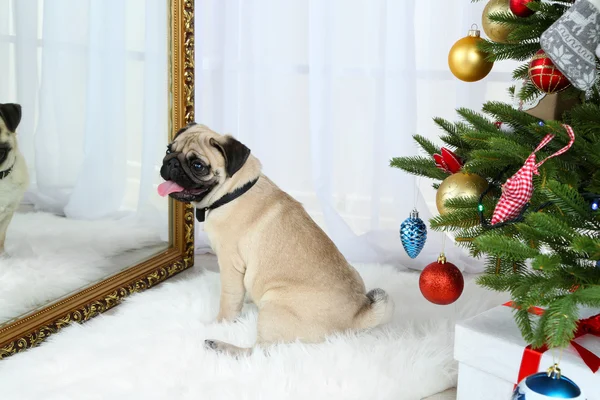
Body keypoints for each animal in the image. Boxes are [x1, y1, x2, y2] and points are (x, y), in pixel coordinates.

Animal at [159, 125, 394, 356]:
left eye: (198, 165)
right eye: (169, 150)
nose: (171, 162)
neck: (233, 191)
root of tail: (357, 316)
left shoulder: (229, 264)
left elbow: (229, 300)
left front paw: (220, 323)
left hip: (273, 306)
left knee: (259, 351)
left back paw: (220, 345)